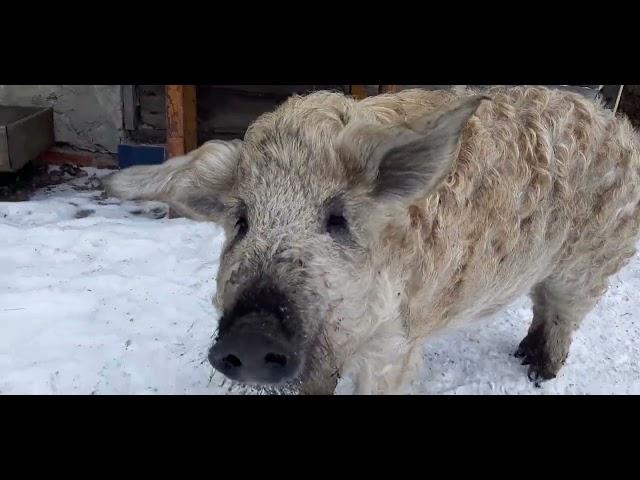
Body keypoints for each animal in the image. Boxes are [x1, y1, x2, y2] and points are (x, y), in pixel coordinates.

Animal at [104, 86, 640, 394]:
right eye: (241, 221)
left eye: (338, 218)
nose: (252, 335)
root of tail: (617, 124)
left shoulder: (395, 342)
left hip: (590, 263)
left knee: (563, 314)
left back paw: (538, 373)